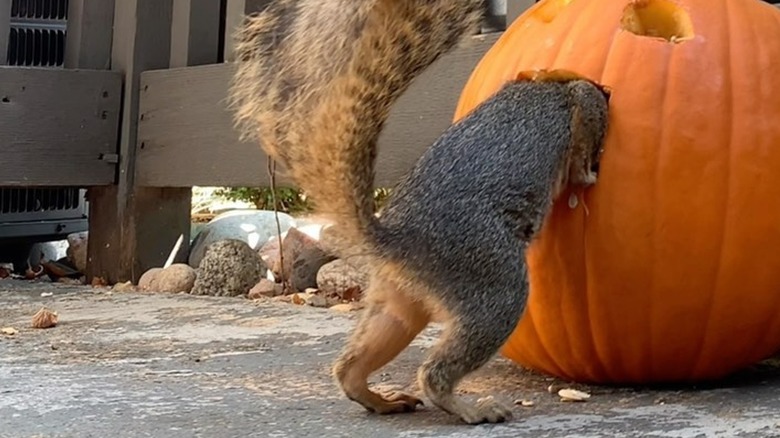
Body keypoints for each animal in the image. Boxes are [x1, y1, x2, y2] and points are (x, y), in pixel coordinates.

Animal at [229, 0, 612, 424]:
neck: (548, 82)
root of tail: (397, 243)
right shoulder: (583, 106)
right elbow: (580, 152)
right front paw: (590, 176)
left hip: (398, 303)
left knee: (354, 364)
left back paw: (381, 399)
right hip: (491, 284)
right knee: (436, 371)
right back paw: (470, 408)